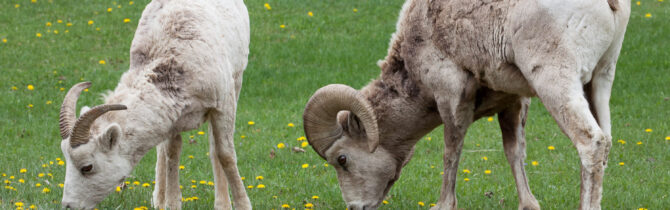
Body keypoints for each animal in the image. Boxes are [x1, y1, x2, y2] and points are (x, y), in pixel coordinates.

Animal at [57, 0, 251, 209]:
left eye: (87, 167)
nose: (68, 206)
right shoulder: (173, 121)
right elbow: (172, 154)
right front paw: (171, 204)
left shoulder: (223, 105)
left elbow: (224, 154)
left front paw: (243, 205)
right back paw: (159, 199)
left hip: (237, 82)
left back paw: (222, 203)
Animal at [304, 0, 632, 210]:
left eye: (342, 159)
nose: (355, 207)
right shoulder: (513, 102)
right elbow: (514, 153)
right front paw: (528, 204)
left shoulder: (450, 94)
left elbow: (452, 151)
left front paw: (443, 205)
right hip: (600, 79)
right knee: (605, 141)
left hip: (556, 80)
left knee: (591, 142)